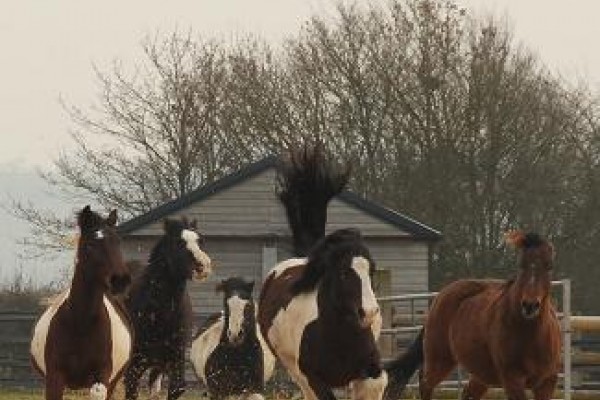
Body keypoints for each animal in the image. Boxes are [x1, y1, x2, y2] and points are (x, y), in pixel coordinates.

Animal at [29, 206, 132, 400]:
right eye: (90, 245)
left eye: (118, 242)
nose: (120, 280)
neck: (81, 324)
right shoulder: (54, 377)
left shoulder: (102, 378)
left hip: (113, 382)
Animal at [123, 217, 214, 400]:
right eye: (179, 242)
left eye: (200, 241)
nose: (203, 266)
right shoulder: (134, 364)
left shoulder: (175, 359)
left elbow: (176, 388)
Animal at [255, 145, 386, 400]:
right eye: (344, 273)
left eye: (372, 271)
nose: (368, 313)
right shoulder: (313, 378)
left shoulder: (371, 373)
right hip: (293, 369)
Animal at [384, 230, 564, 400]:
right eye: (521, 265)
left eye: (549, 266)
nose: (530, 305)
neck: (531, 336)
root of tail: (439, 297)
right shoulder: (512, 380)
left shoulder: (547, 382)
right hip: (440, 359)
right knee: (425, 383)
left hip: (481, 375)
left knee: (467, 393)